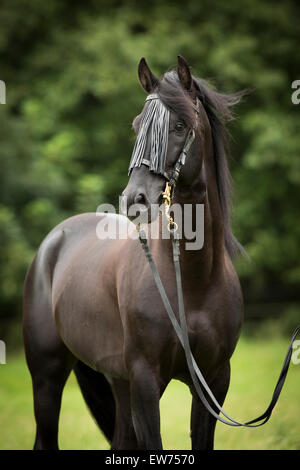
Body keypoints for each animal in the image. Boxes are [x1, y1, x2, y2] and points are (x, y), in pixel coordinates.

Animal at [24, 55, 246, 448]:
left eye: (179, 125)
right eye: (137, 125)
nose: (134, 199)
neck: (193, 281)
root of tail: (55, 239)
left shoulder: (214, 382)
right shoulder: (145, 380)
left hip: (118, 383)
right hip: (48, 379)